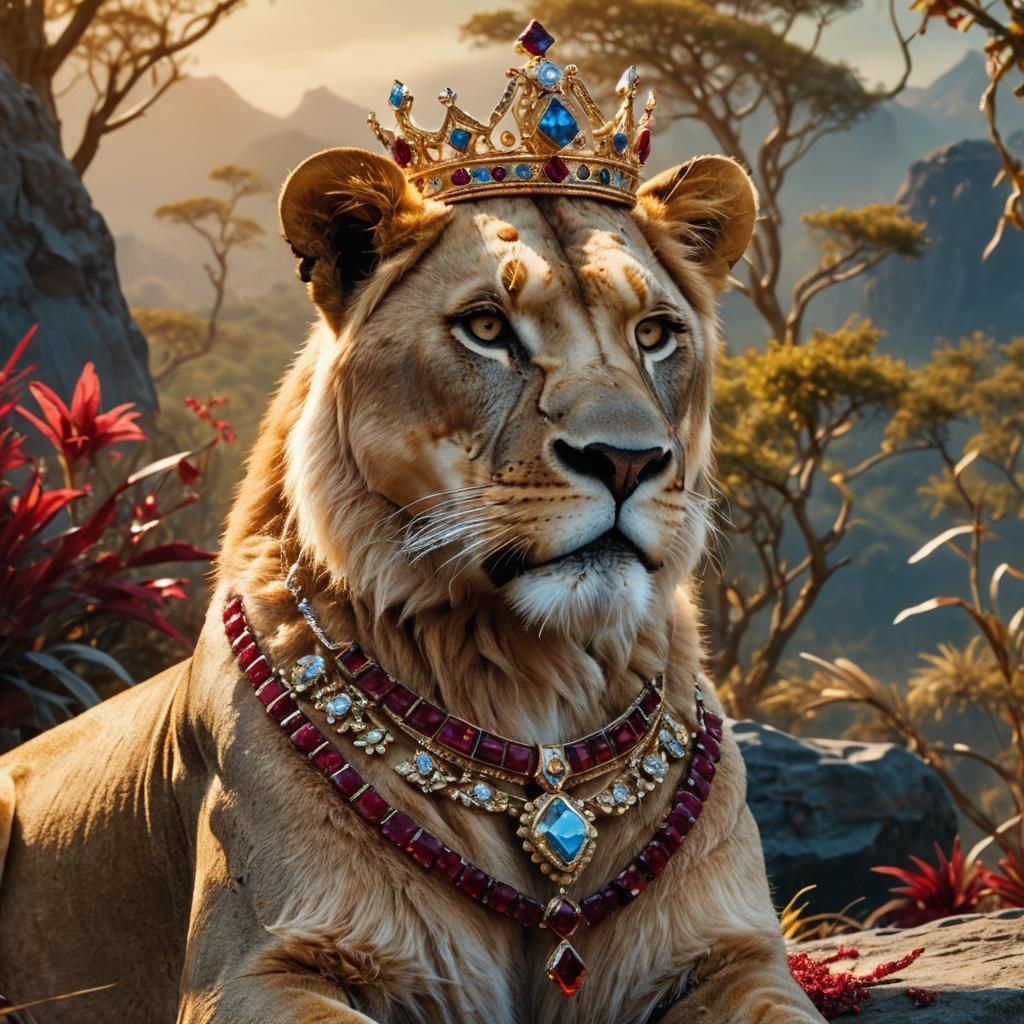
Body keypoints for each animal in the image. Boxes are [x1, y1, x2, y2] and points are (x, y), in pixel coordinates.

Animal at [0, 146, 824, 1024]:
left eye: (655, 334)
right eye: (487, 328)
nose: (627, 461)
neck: (537, 681)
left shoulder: (733, 956)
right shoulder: (249, 972)